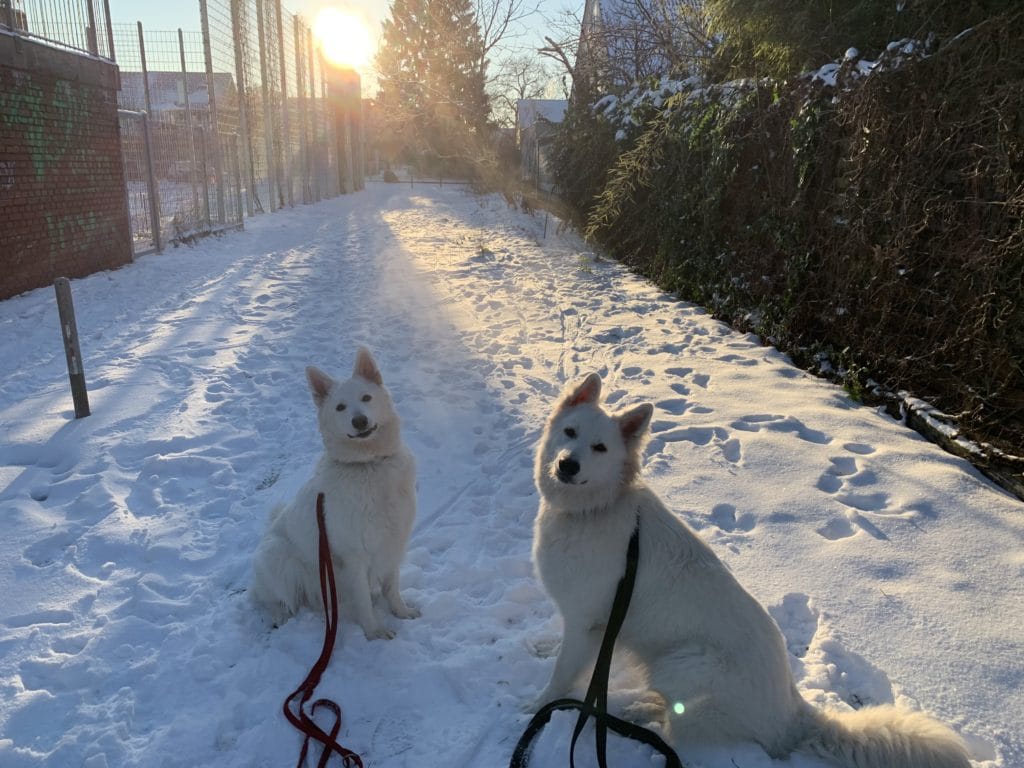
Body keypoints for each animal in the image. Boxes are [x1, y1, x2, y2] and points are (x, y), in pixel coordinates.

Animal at [249, 346, 417, 638]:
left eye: (366, 398)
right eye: (340, 407)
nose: (359, 421)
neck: (369, 464)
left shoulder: (392, 543)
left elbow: (391, 587)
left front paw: (402, 613)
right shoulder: (354, 556)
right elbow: (364, 600)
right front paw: (374, 634)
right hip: (278, 556)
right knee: (275, 599)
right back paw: (279, 617)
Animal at [532, 370, 970, 765]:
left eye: (600, 448)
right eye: (569, 432)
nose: (567, 465)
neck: (593, 510)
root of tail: (791, 714)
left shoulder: (591, 621)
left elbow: (562, 673)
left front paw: (538, 707)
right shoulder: (584, 624)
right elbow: (564, 653)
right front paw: (545, 650)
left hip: (686, 661)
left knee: (680, 724)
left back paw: (635, 716)